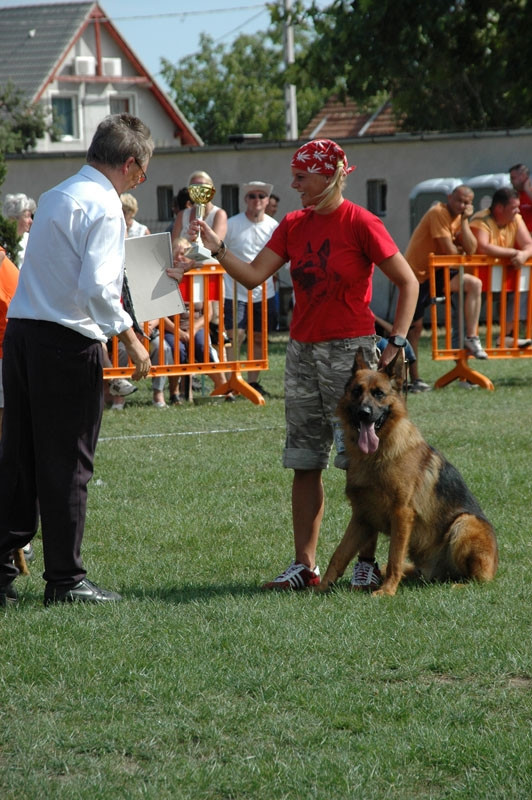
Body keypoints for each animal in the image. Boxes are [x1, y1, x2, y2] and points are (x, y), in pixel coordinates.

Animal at [320, 350, 498, 592]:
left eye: (379, 393)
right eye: (356, 391)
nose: (364, 413)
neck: (377, 456)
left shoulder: (401, 514)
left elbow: (394, 556)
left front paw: (386, 591)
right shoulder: (361, 517)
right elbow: (339, 555)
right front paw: (319, 588)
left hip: (465, 523)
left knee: (478, 581)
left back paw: (457, 585)